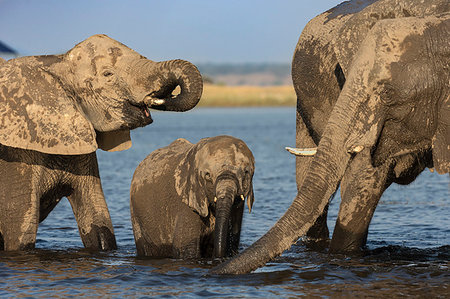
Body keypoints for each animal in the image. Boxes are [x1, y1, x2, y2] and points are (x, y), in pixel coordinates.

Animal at [0, 34, 203, 252]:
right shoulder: (17, 157)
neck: (58, 63)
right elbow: (19, 230)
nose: (165, 97)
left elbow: (98, 218)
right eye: (108, 74)